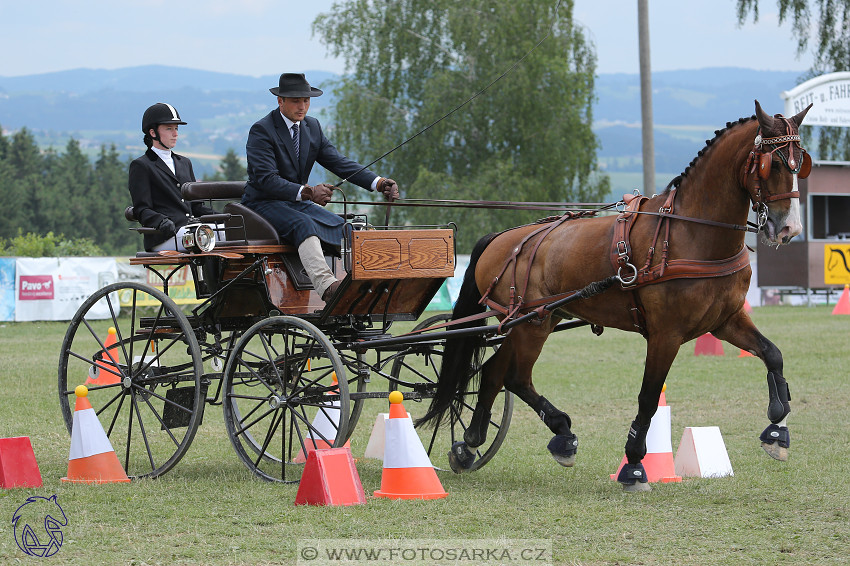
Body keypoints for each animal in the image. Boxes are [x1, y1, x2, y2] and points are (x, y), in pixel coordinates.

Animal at [418, 100, 808, 490]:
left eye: (799, 163)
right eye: (771, 164)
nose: (789, 228)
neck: (691, 233)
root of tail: (501, 238)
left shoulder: (725, 320)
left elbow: (773, 355)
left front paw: (778, 430)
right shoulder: (666, 334)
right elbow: (649, 398)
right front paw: (634, 465)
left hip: (536, 320)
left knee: (495, 372)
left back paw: (475, 444)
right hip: (530, 324)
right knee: (512, 376)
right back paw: (552, 435)